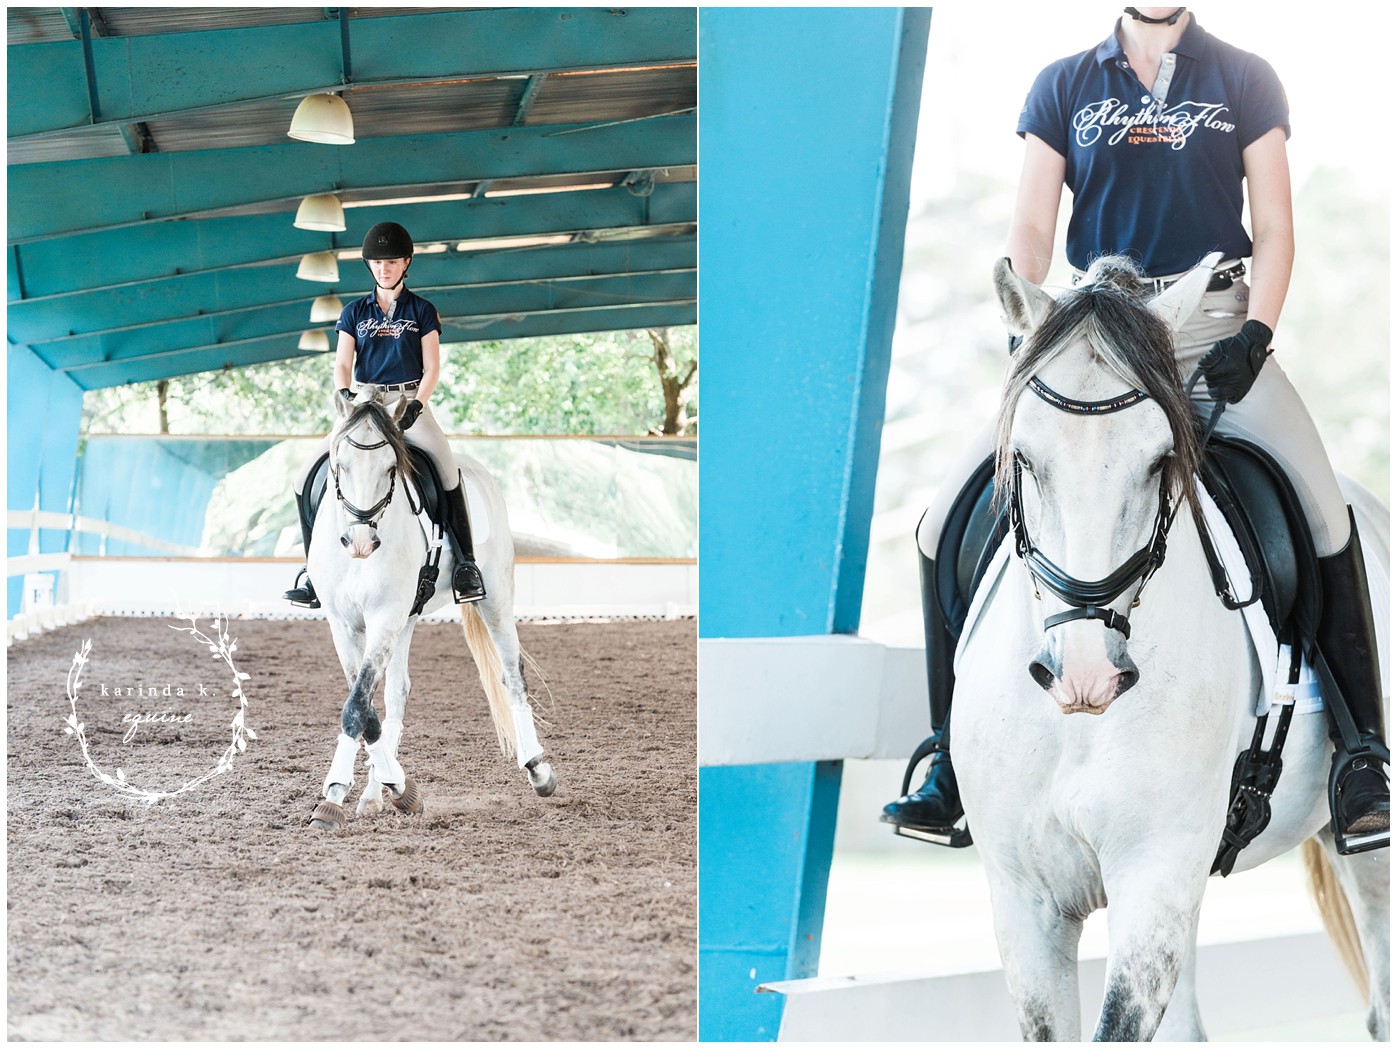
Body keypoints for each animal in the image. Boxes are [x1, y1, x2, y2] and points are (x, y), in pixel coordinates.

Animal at [305, 386, 556, 830]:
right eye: (340, 466)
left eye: (391, 467)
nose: (360, 542)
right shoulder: (344, 623)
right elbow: (366, 704)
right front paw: (394, 789)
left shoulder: (385, 615)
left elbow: (356, 706)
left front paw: (333, 797)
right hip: (407, 616)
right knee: (397, 692)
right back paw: (377, 792)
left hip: (495, 597)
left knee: (512, 675)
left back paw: (538, 769)